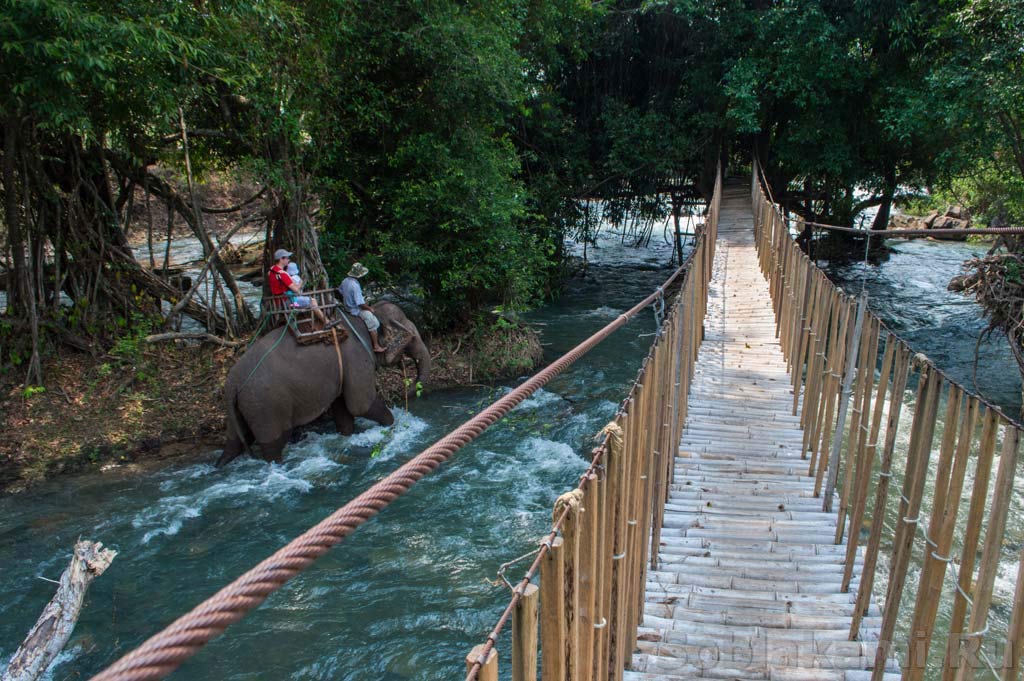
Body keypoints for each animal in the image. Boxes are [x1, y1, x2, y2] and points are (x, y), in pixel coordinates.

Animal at [216, 301, 428, 464]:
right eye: (412, 338)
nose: (408, 390)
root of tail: (232, 383)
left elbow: (343, 410)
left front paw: (347, 436)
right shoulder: (356, 358)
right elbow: (360, 405)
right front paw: (392, 425)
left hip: (244, 408)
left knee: (234, 442)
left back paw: (221, 464)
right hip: (266, 406)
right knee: (273, 444)